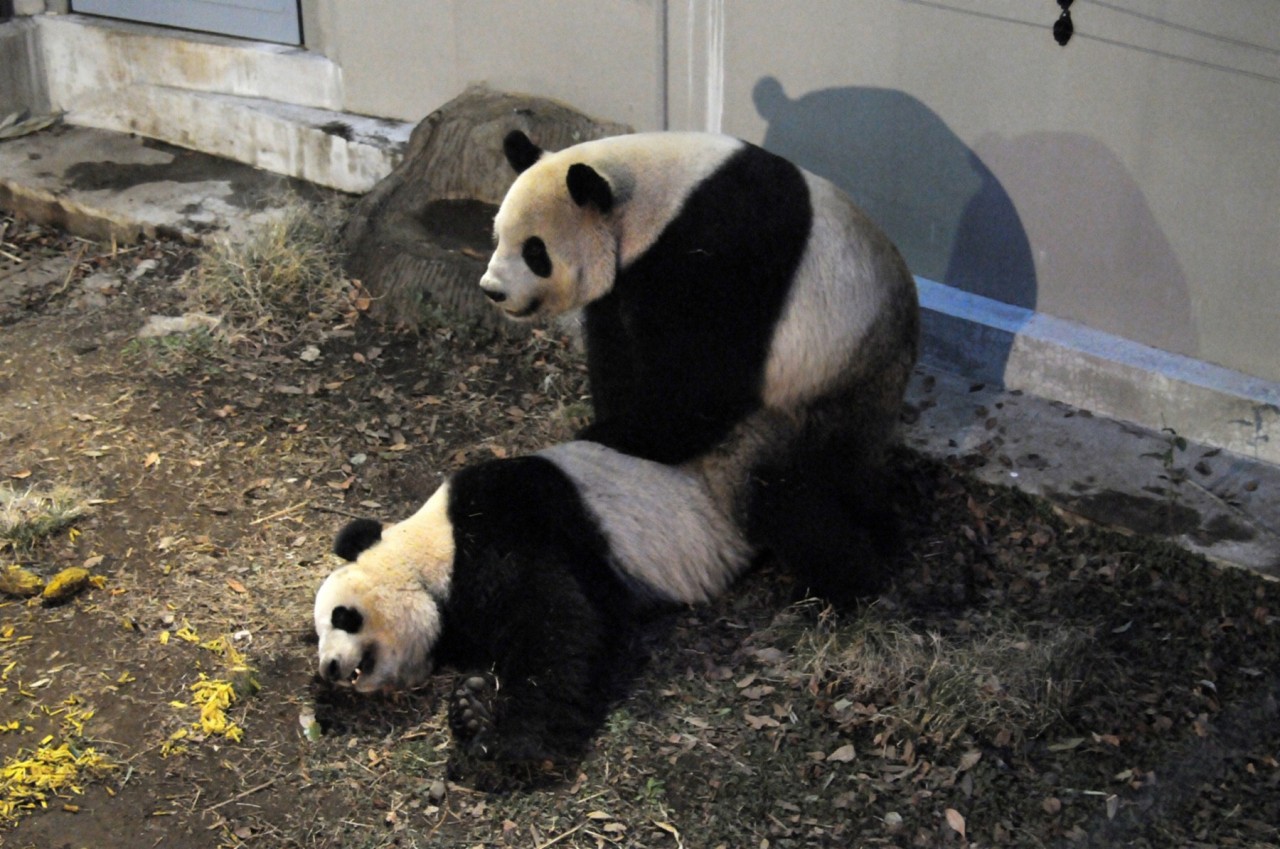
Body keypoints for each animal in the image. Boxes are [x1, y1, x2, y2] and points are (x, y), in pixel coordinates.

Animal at [317, 437, 757, 768]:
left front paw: (505, 744)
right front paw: (470, 706)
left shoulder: (505, 528)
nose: (329, 668)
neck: (430, 552)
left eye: (343, 617)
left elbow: (560, 625)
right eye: (318, 635)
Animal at [481, 128, 921, 604]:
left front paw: (618, 436)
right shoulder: (630, 277)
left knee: (796, 488)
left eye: (535, 251)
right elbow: (616, 346)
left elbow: (704, 378)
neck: (653, 198)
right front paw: (615, 420)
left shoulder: (721, 247)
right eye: (497, 235)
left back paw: (855, 571)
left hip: (831, 385)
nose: (493, 290)